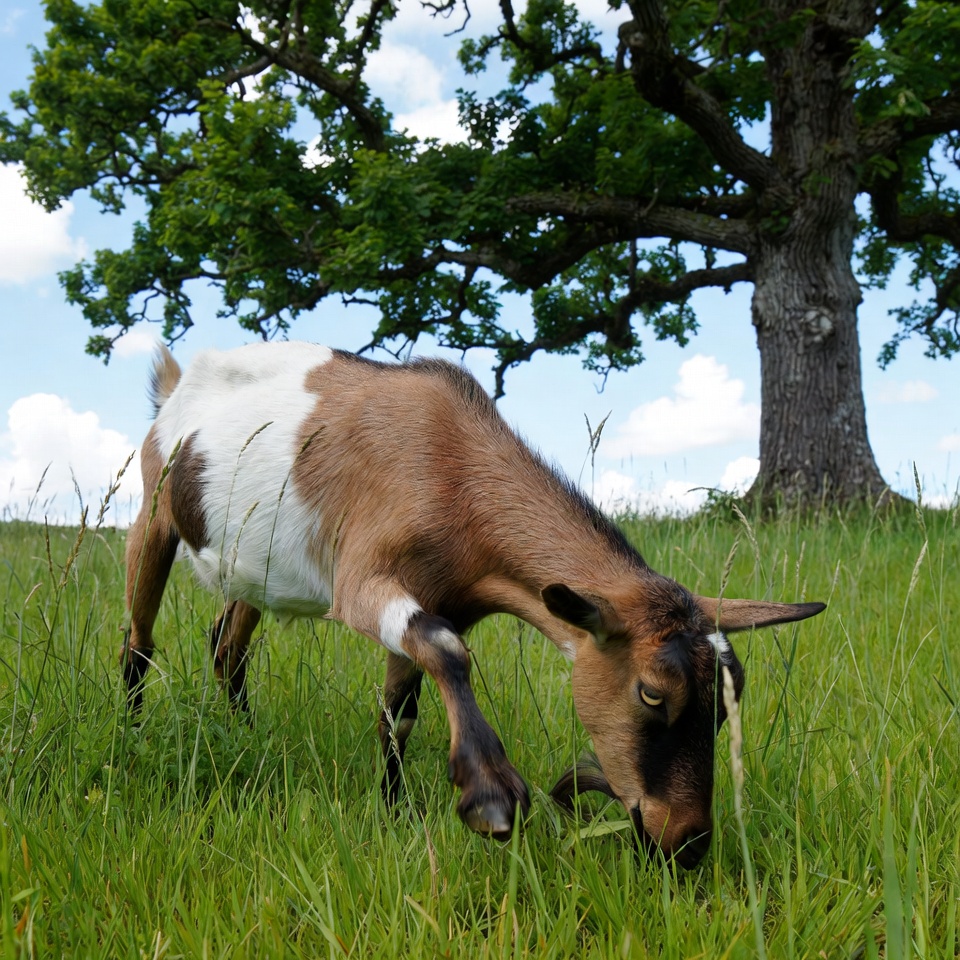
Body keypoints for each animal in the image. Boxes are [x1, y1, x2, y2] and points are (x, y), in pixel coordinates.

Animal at [122, 341, 825, 867]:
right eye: (653, 692)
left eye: (729, 698)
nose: (686, 843)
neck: (449, 462)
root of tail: (174, 388)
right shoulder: (364, 581)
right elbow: (444, 649)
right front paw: (488, 797)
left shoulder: (438, 596)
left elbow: (398, 713)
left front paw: (394, 811)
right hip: (152, 515)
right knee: (139, 639)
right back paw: (131, 734)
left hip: (250, 569)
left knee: (226, 645)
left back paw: (246, 733)